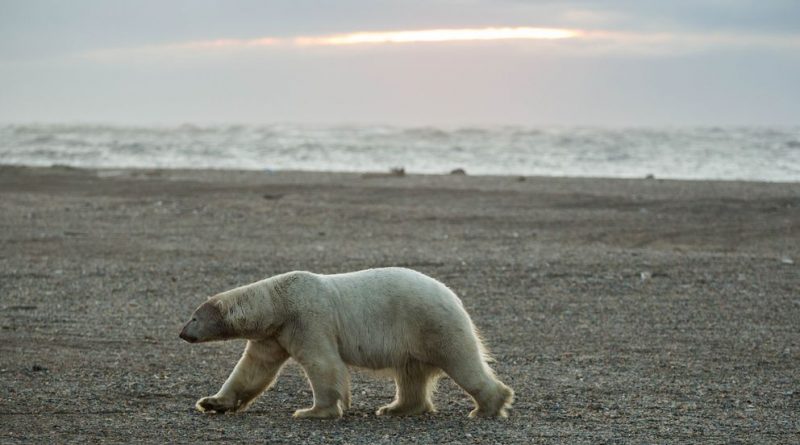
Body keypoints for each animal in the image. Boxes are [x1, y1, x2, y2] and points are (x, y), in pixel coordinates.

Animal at [179, 268, 512, 416]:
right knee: (411, 375)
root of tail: (453, 296)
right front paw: (212, 402)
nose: (182, 333)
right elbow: (252, 369)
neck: (278, 302)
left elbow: (323, 363)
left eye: (194, 317)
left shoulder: (308, 319)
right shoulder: (275, 335)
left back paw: (488, 406)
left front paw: (312, 411)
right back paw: (395, 408)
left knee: (462, 361)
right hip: (415, 338)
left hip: (431, 323)